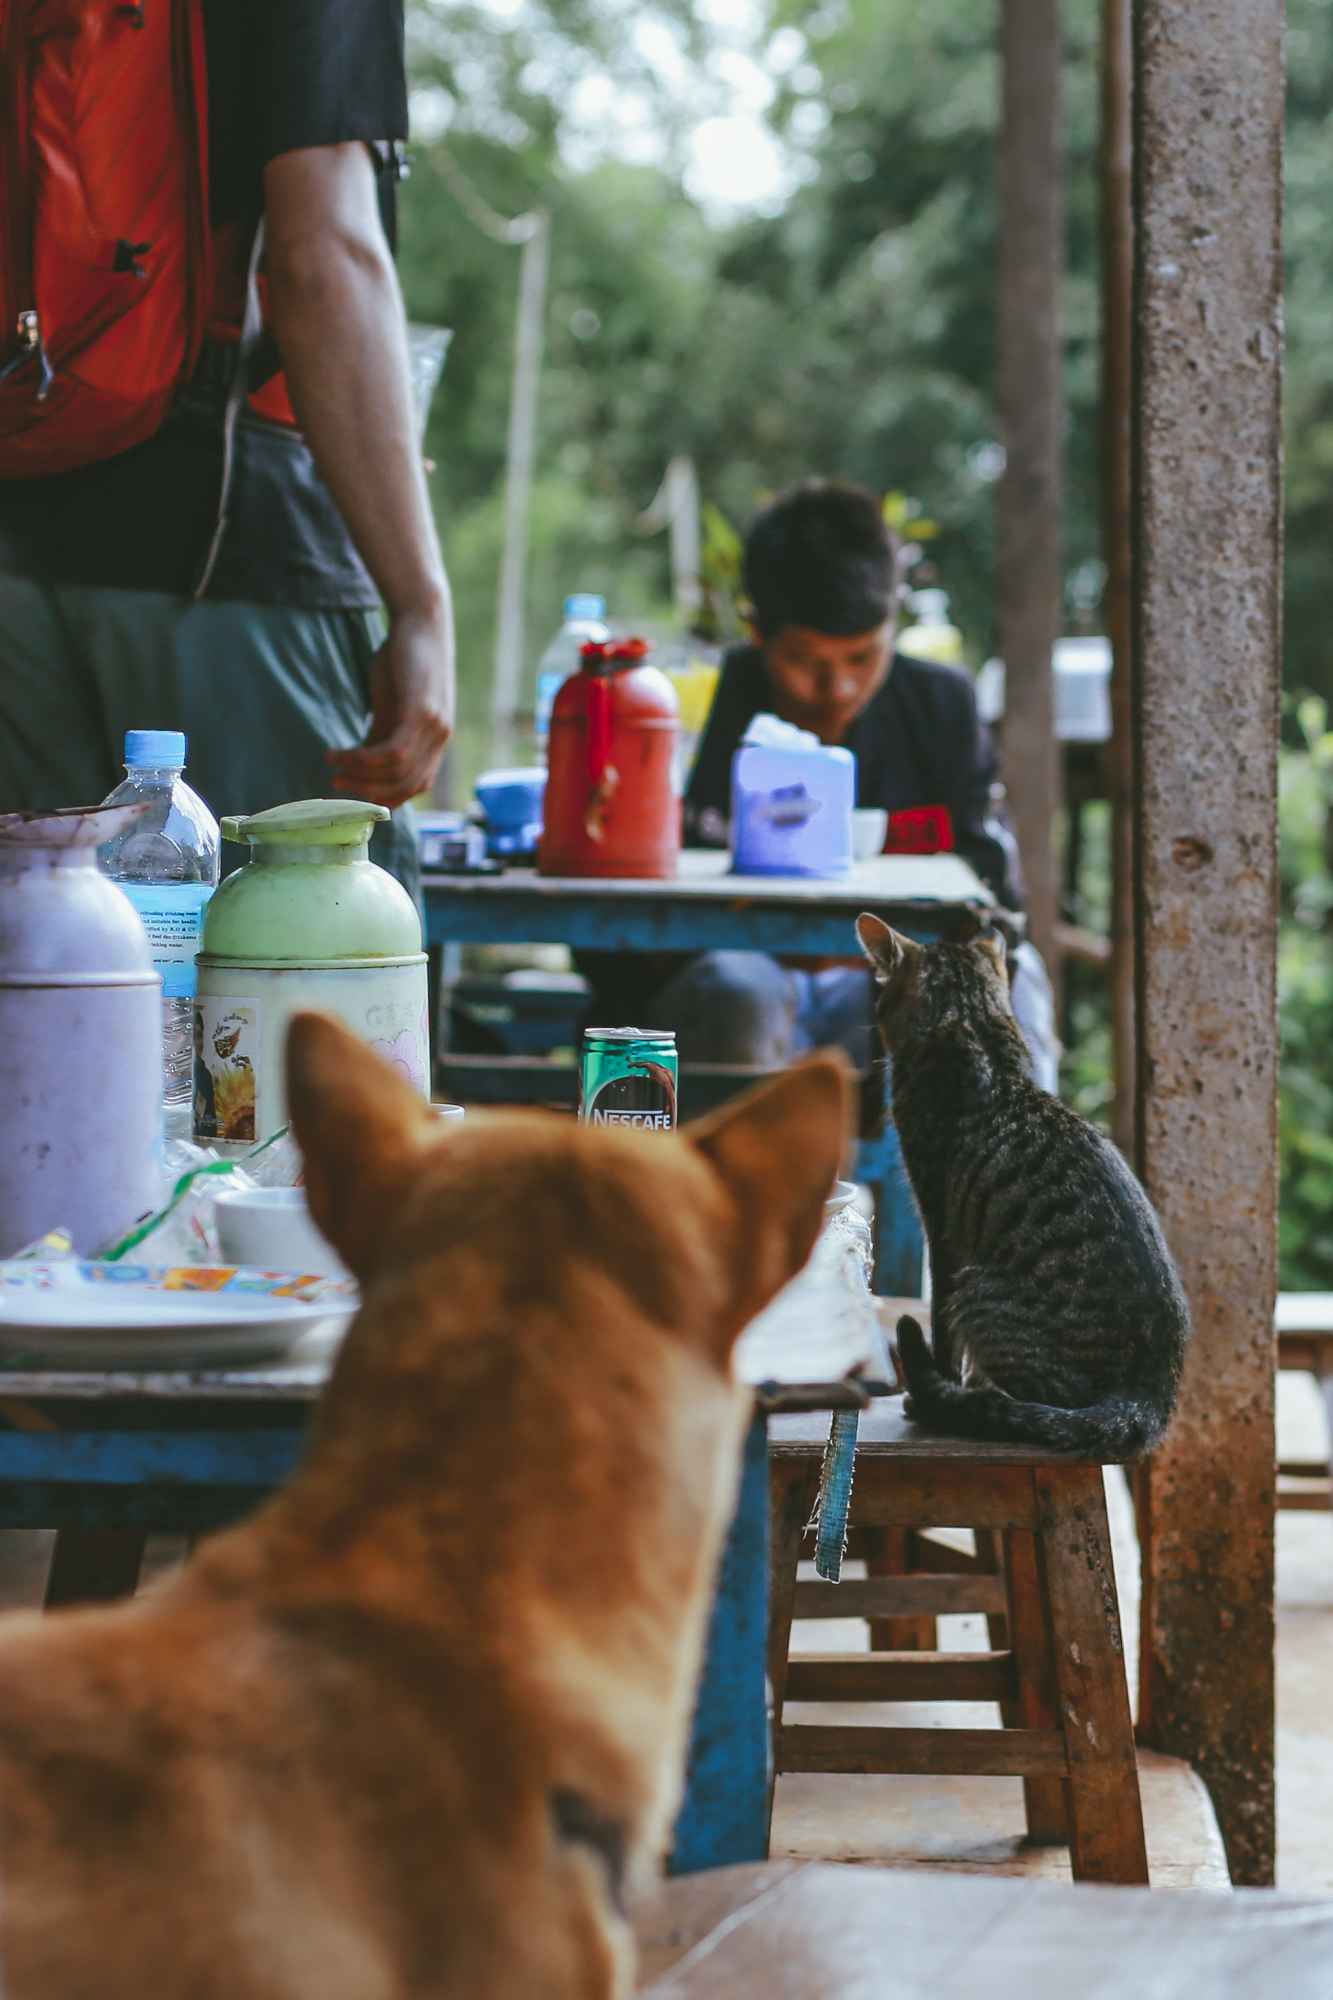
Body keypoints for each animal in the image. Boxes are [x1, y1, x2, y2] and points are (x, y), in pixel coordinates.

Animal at [856, 912, 1184, 1456]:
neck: (972, 1023)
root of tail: (1148, 1397)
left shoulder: (940, 1229)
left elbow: (943, 1334)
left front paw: (935, 1394)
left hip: (979, 1293)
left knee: (1055, 1405)